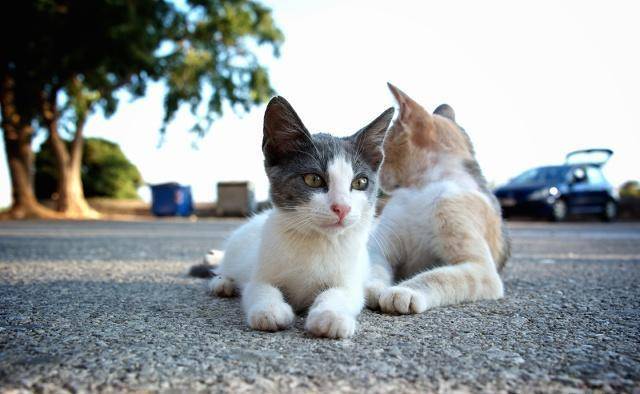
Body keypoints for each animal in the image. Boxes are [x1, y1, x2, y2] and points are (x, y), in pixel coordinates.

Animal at [210, 96, 392, 338]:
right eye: (313, 179)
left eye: (360, 182)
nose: (342, 208)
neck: (317, 242)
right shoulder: (260, 274)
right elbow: (259, 288)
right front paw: (269, 310)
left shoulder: (349, 280)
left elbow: (341, 293)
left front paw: (330, 315)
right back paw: (222, 283)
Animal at [364, 83, 510, 314]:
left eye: (384, 147)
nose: (378, 174)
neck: (422, 187)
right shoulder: (378, 248)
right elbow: (374, 269)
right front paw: (372, 289)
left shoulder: (479, 268)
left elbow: (438, 277)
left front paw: (404, 291)